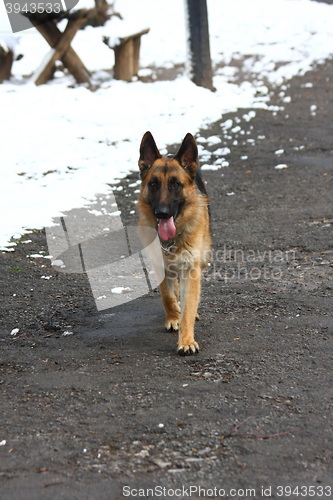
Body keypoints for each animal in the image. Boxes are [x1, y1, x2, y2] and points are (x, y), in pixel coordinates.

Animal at [137, 131, 210, 354]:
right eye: (153, 184)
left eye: (176, 184)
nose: (162, 213)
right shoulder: (159, 265)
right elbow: (167, 296)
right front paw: (173, 316)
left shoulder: (191, 269)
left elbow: (188, 307)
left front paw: (186, 341)